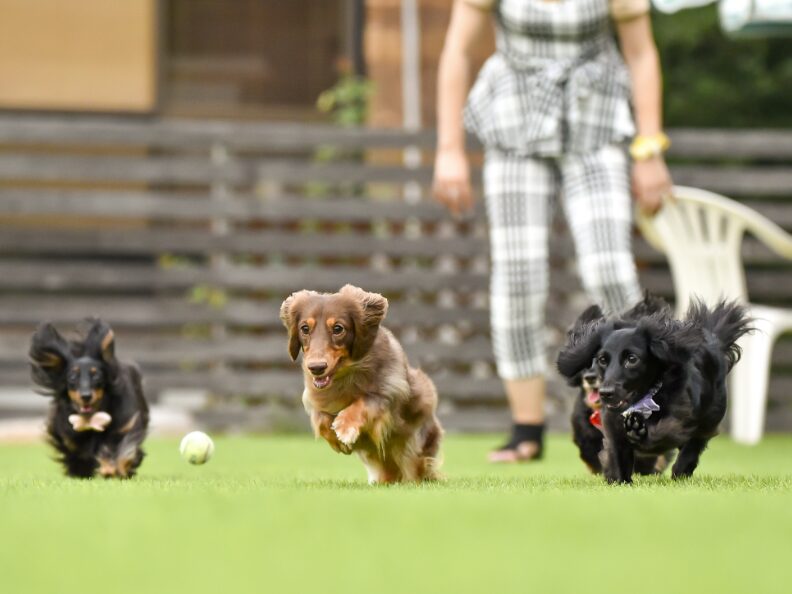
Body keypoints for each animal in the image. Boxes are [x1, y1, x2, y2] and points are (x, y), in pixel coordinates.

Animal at [29, 320, 150, 476]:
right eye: (72, 377)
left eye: (96, 375)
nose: (86, 396)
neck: (91, 420)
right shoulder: (68, 434)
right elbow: (77, 453)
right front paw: (101, 468)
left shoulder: (126, 424)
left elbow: (123, 447)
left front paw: (116, 467)